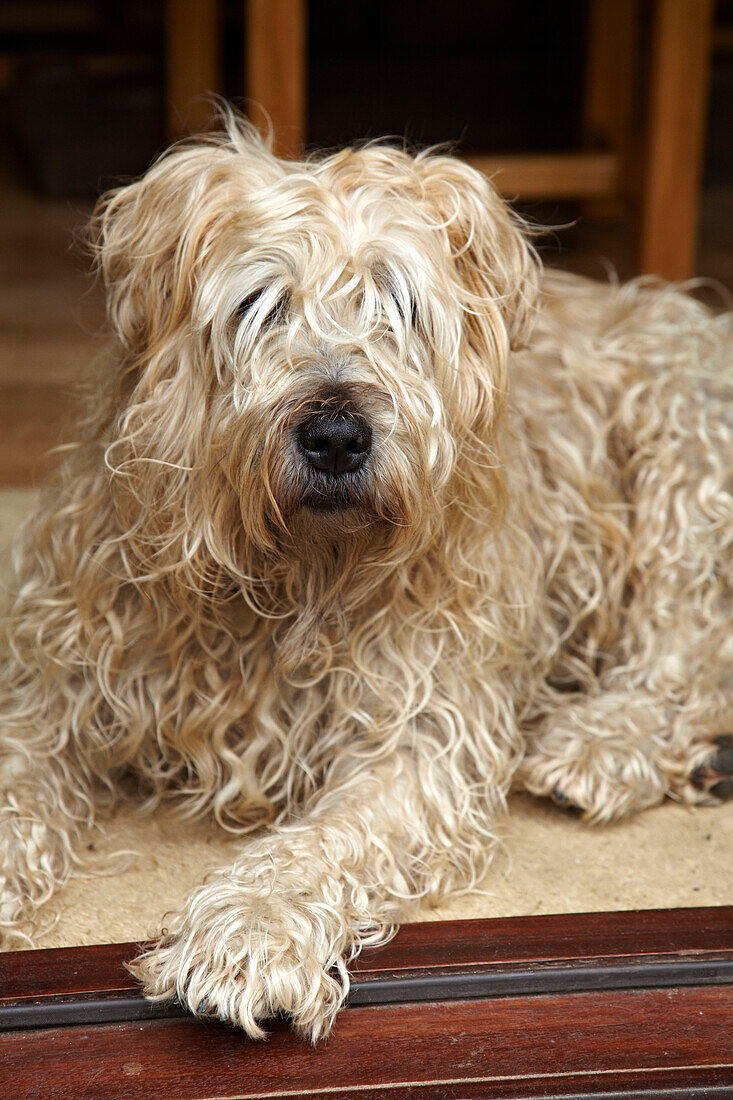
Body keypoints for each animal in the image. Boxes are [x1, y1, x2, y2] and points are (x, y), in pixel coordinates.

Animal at [1, 118, 730, 1038]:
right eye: (260, 304)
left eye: (401, 307)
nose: (337, 435)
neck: (287, 578)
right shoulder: (54, 687)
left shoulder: (421, 729)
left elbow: (327, 840)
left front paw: (249, 931)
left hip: (680, 457)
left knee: (689, 645)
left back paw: (604, 744)